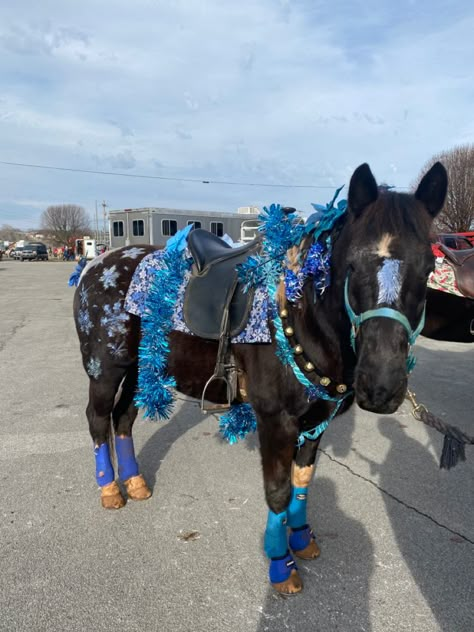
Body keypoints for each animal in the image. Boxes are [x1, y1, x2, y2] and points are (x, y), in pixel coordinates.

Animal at [74, 160, 448, 596]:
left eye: (428, 269)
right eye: (352, 265)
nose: (381, 387)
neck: (302, 316)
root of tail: (97, 264)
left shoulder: (316, 422)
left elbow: (303, 482)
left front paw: (302, 540)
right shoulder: (276, 421)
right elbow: (278, 492)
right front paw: (280, 565)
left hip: (142, 369)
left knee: (123, 419)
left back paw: (134, 484)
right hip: (105, 369)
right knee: (98, 419)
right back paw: (110, 489)